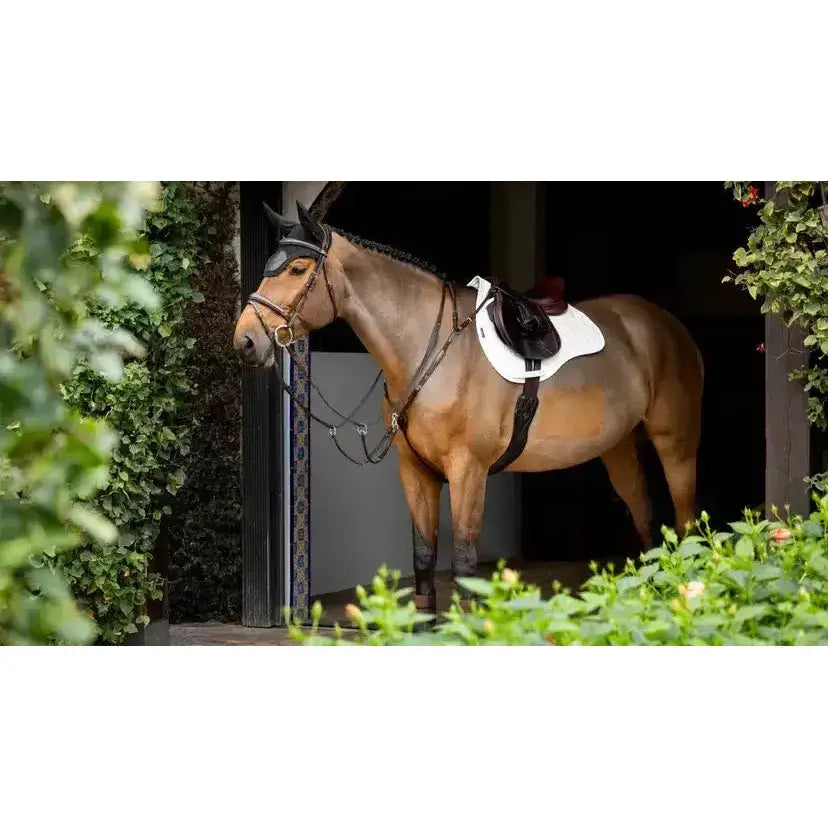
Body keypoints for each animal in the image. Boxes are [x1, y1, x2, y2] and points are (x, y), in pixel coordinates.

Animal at [233, 202, 704, 613]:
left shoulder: (468, 470)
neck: (430, 348)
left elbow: (462, 560)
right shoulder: (415, 471)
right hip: (619, 447)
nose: (246, 341)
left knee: (685, 521)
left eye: (297, 269)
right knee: (645, 519)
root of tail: (669, 324)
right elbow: (424, 556)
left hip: (676, 443)